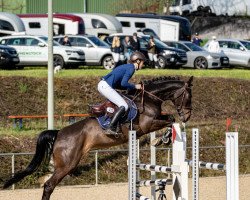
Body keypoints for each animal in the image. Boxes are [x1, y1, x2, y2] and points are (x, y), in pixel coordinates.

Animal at [2, 76, 193, 199]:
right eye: (189, 97)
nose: (188, 116)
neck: (150, 98)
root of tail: (59, 133)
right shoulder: (148, 125)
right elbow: (170, 119)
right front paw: (162, 138)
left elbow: (170, 119)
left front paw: (161, 139)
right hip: (67, 164)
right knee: (49, 185)